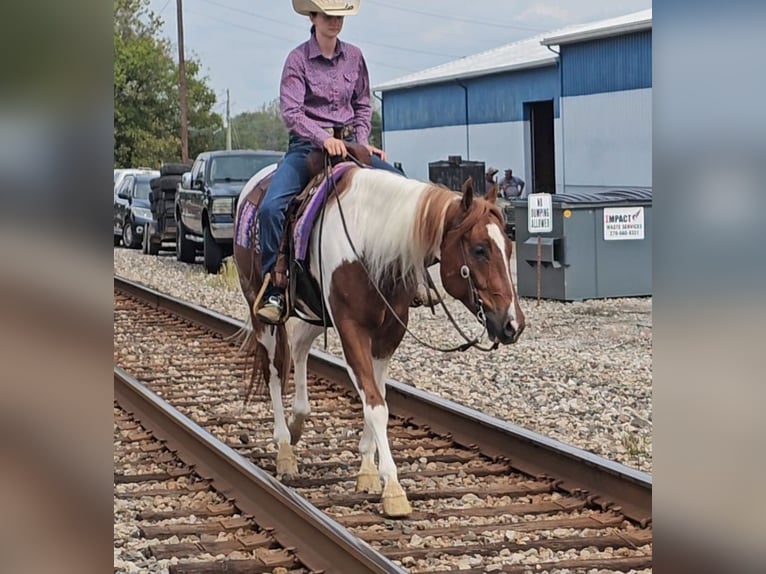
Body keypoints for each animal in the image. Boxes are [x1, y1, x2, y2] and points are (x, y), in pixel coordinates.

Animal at [232, 163, 525, 517]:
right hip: (259, 308)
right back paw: (285, 448)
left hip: (317, 313)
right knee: (274, 370)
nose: (512, 324)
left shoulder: (388, 335)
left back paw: (298, 420)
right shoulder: (351, 330)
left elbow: (377, 397)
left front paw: (368, 471)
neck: (368, 243)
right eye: (480, 249)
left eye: (508, 247)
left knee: (300, 347)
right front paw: (393, 488)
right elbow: (375, 405)